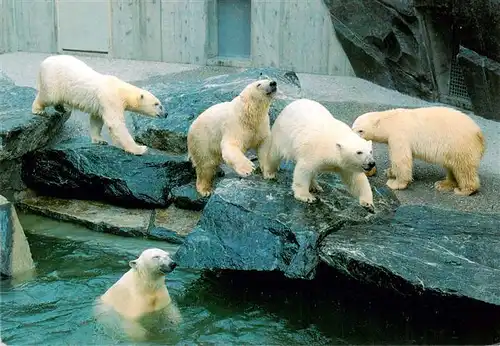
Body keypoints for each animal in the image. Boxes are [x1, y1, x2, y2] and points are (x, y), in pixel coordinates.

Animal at [31, 54, 166, 155]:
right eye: (157, 104)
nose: (165, 114)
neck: (121, 90)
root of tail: (44, 62)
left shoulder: (101, 104)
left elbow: (97, 119)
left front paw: (100, 140)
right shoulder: (111, 99)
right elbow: (115, 123)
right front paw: (140, 149)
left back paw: (62, 108)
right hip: (53, 79)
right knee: (49, 96)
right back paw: (38, 110)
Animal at [352, 107, 484, 196]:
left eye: (360, 130)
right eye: (353, 128)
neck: (390, 121)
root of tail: (479, 134)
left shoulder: (399, 135)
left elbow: (401, 159)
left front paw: (395, 183)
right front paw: (389, 172)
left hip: (459, 144)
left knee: (463, 168)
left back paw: (464, 190)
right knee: (451, 165)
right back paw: (443, 184)